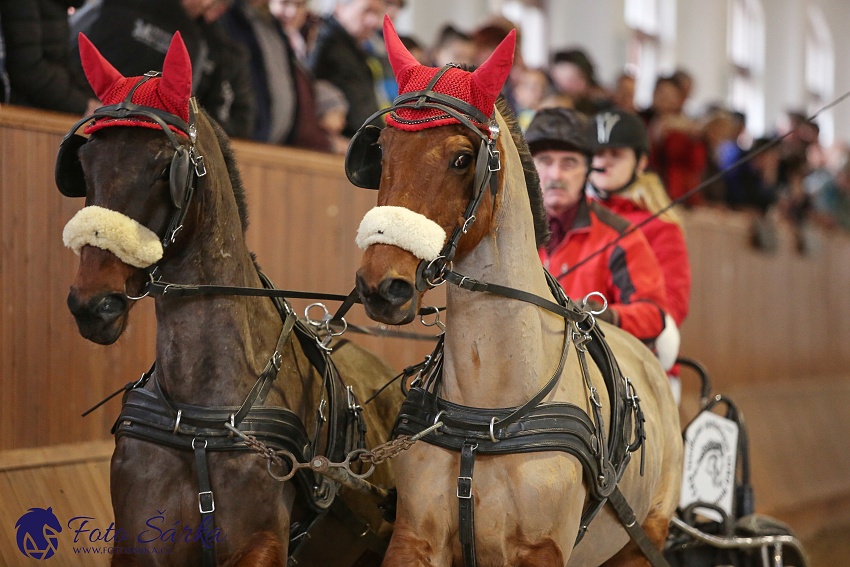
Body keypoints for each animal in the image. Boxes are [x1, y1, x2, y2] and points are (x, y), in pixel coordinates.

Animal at [61, 35, 400, 567]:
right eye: (85, 164)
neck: (200, 418)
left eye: (164, 167)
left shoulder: (259, 543)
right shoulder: (138, 540)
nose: (94, 304)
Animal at [348, 17, 680, 567]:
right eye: (381, 151)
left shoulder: (539, 551)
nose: (382, 286)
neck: (490, 413)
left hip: (641, 541)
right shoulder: (415, 537)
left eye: (463, 159)